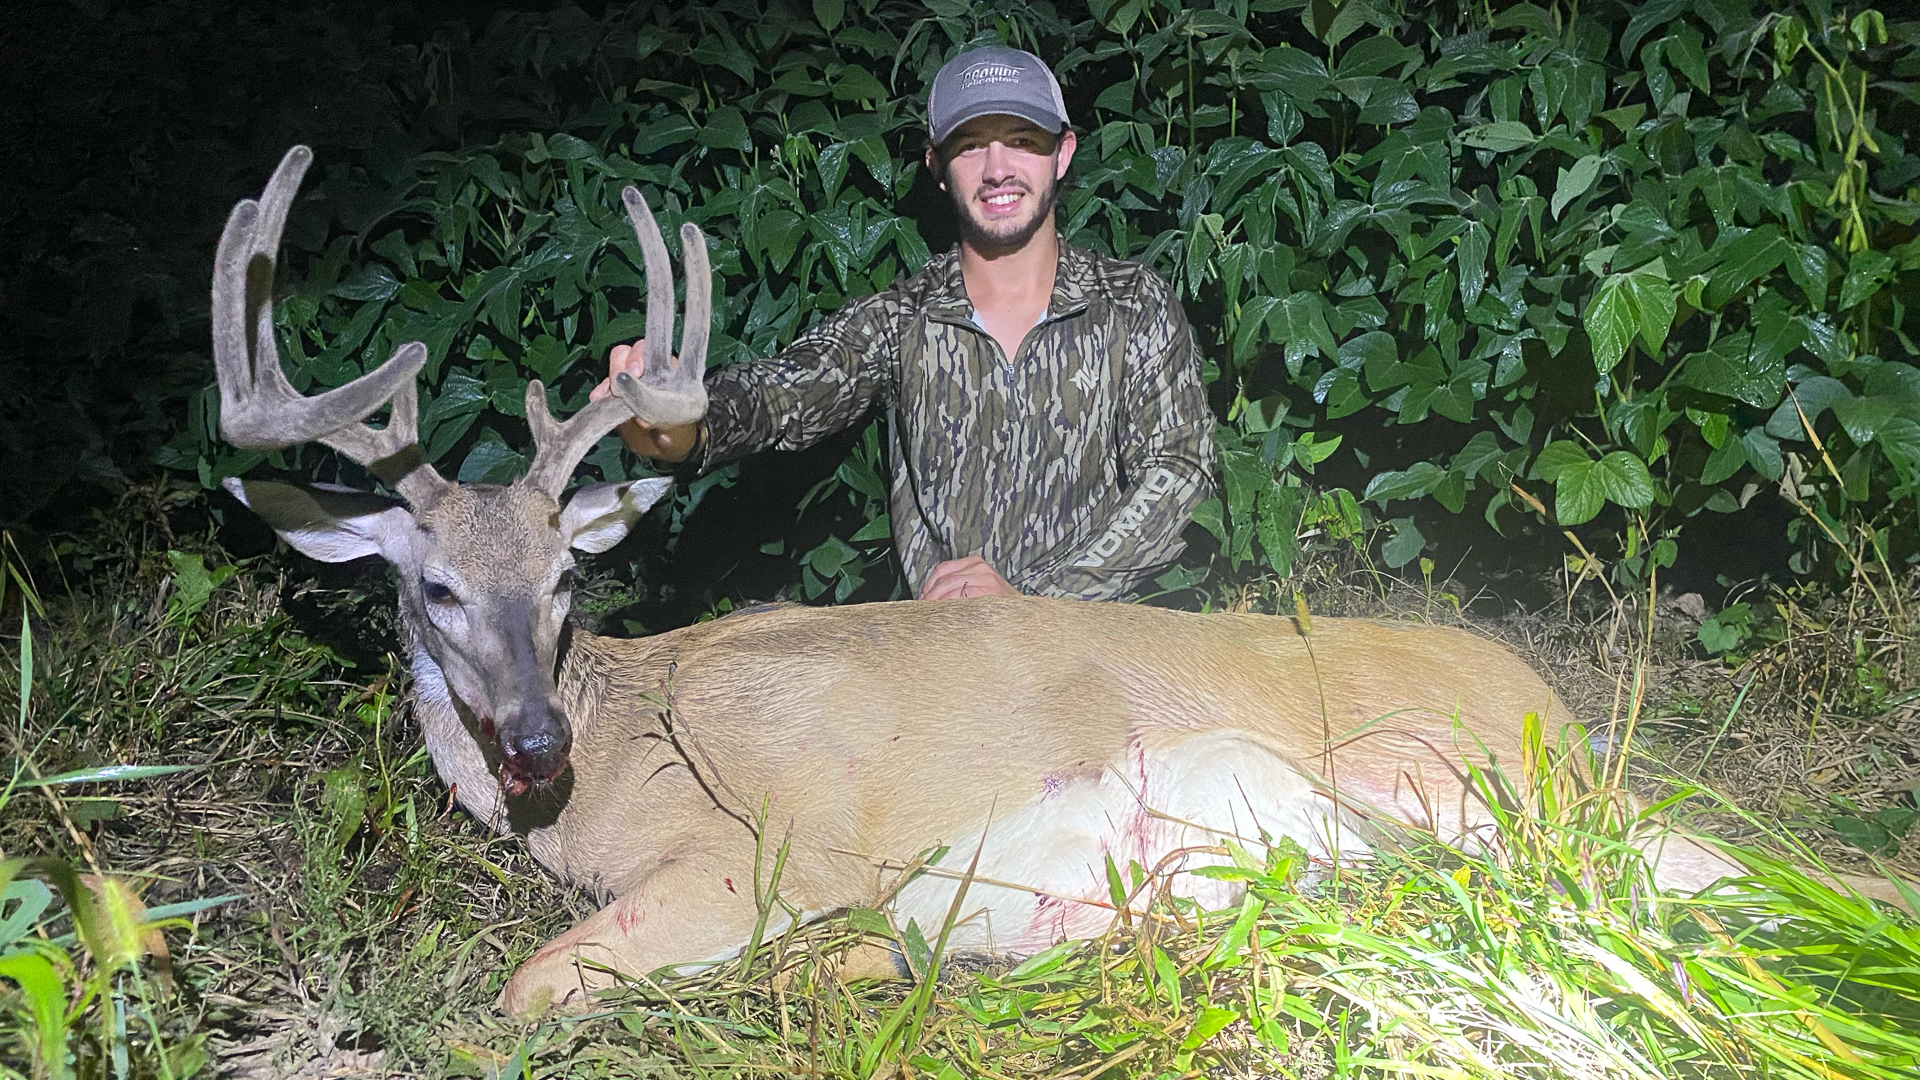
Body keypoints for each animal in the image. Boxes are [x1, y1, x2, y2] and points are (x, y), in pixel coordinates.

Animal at [210, 147, 1889, 1014]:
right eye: (431, 588)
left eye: (568, 580)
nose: (531, 738)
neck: (624, 753)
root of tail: (1556, 701)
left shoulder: (780, 852)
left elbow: (532, 986)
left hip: (1459, 775)